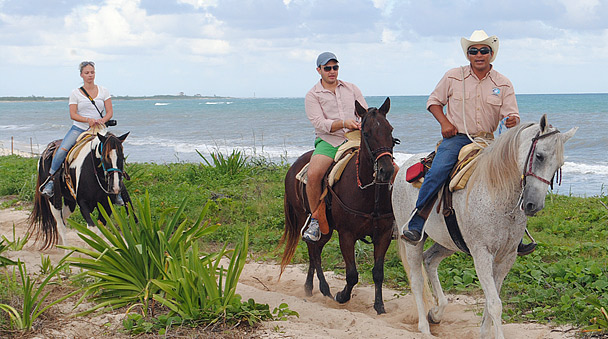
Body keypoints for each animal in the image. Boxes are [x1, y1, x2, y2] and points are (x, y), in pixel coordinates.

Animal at [280, 97, 396, 314]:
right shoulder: (346, 235)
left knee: (315, 250)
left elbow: (378, 272)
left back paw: (309, 287)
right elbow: (352, 274)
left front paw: (379, 307)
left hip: (326, 228)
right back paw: (324, 289)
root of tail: (292, 168)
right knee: (313, 250)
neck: (369, 193)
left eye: (390, 130)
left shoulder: (383, 234)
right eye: (366, 133)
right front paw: (342, 296)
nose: (386, 170)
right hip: (306, 217)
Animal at [392, 115, 576, 338]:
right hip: (412, 240)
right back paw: (424, 328)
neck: (497, 193)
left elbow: (492, 300)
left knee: (429, 260)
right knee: (417, 280)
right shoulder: (482, 254)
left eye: (559, 165)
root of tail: (404, 168)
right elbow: (495, 304)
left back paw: (436, 313)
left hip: (448, 241)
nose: (534, 205)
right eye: (539, 156)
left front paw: (484, 332)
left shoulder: (507, 257)